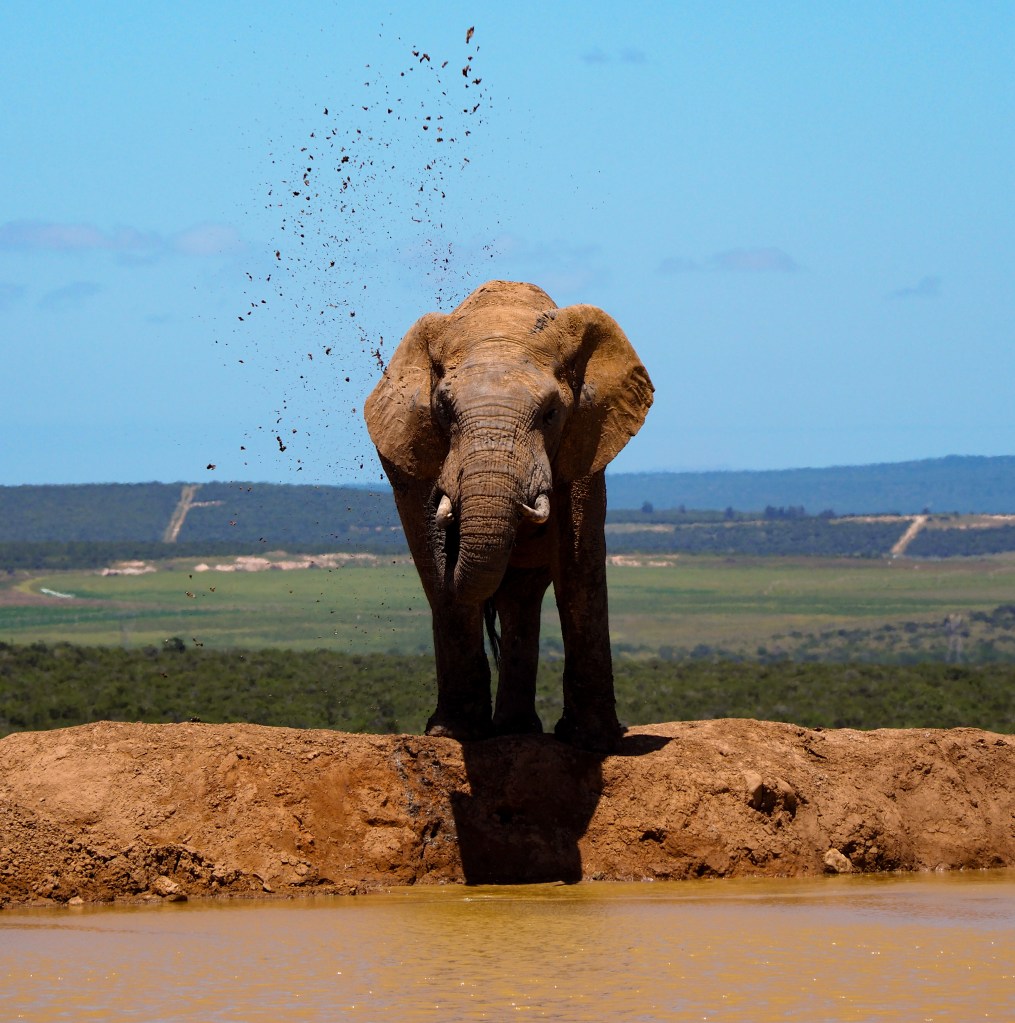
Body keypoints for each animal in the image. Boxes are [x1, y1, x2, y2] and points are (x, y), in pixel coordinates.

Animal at [364, 280, 653, 751]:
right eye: (444, 411)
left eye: (551, 414)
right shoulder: (414, 456)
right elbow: (435, 566)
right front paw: (454, 735)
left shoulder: (587, 439)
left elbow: (579, 565)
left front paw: (594, 742)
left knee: (522, 595)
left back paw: (518, 730)